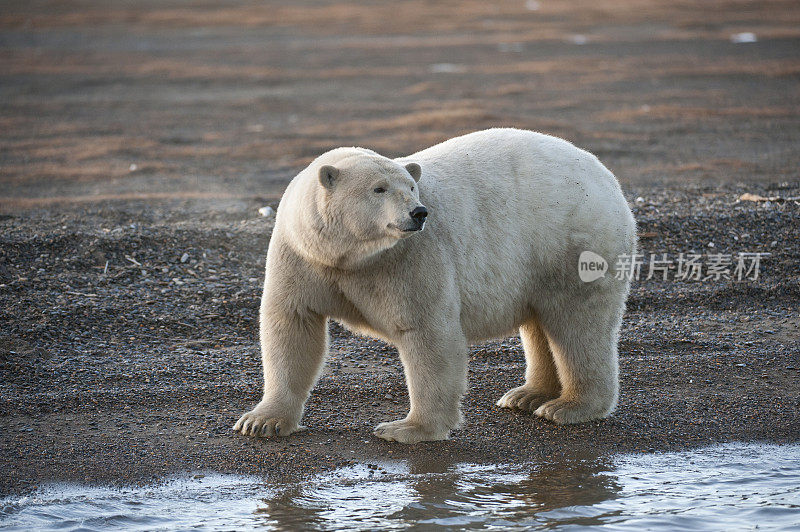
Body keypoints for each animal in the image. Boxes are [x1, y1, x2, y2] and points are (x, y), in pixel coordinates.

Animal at [233, 129, 636, 444]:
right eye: (379, 189)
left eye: (411, 186)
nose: (419, 212)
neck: (350, 257)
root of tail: (605, 175)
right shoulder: (303, 257)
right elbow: (293, 324)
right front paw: (261, 421)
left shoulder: (409, 258)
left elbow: (428, 332)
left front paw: (406, 429)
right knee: (540, 323)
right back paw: (526, 396)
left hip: (571, 241)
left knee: (577, 324)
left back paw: (568, 407)